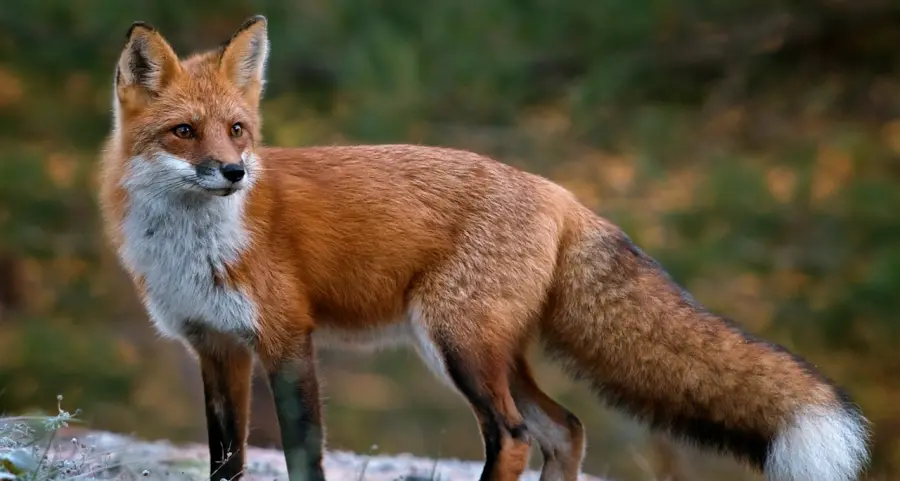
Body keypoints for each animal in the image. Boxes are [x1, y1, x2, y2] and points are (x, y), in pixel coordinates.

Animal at [97, 14, 871, 481]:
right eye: (184, 133)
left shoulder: (287, 339)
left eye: (238, 130)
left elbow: (302, 455)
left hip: (458, 344)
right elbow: (224, 458)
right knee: (565, 427)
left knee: (516, 434)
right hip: (484, 350)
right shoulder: (215, 347)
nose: (233, 173)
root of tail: (560, 193)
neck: (193, 247)